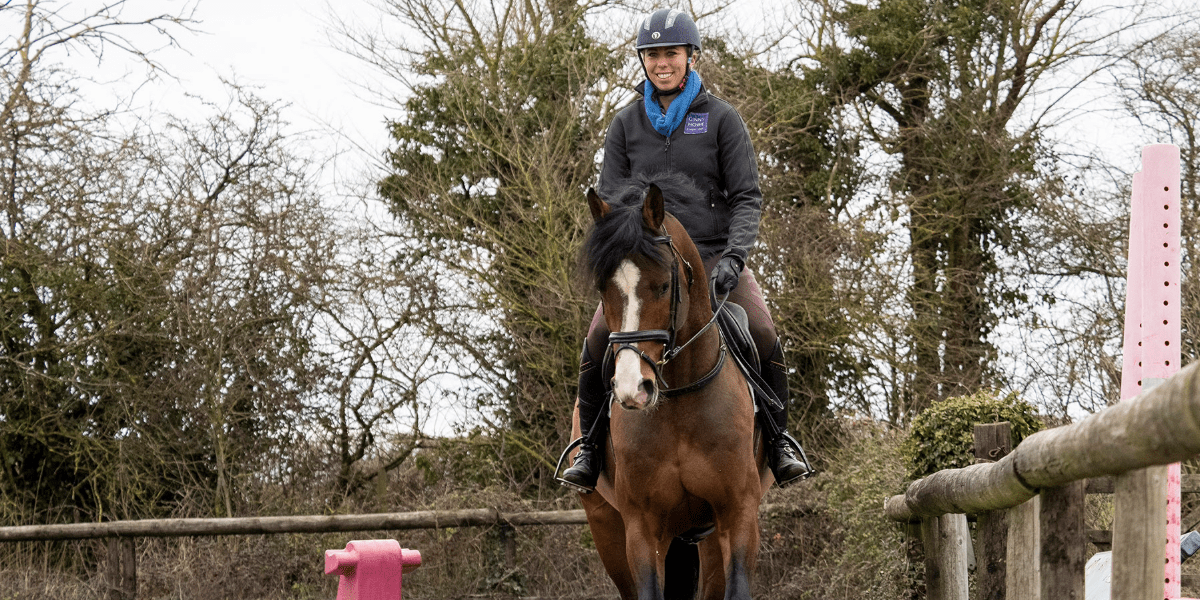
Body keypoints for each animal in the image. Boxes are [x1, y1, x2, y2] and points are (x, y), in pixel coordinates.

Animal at [571, 175, 773, 600]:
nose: (633, 389)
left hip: (707, 538)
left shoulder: (737, 515)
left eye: (664, 286)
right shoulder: (643, 530)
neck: (679, 398)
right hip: (608, 528)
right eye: (602, 288)